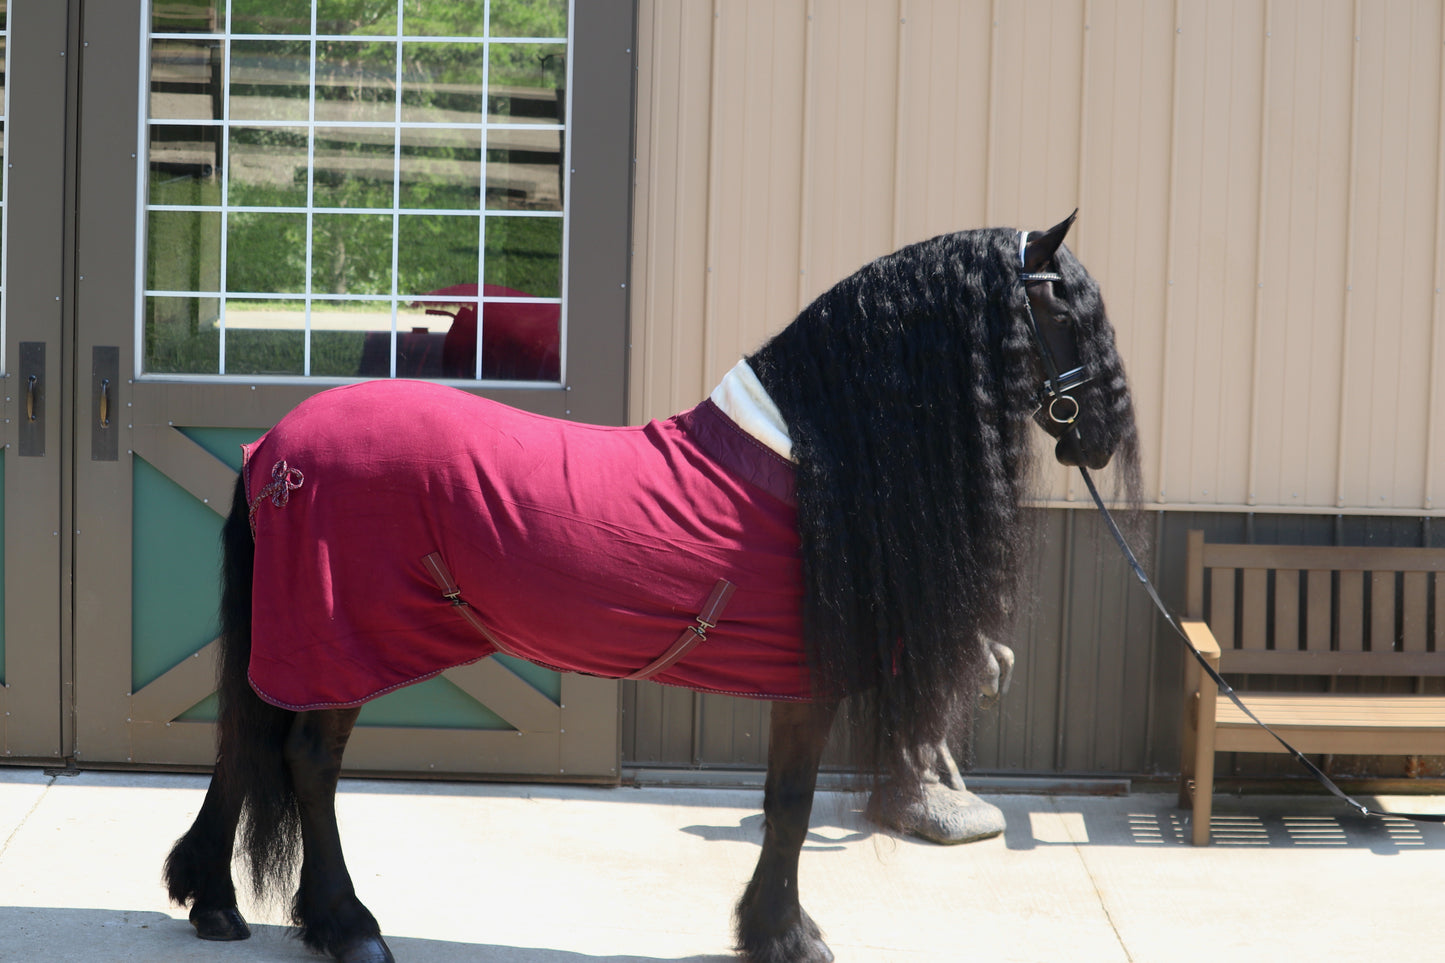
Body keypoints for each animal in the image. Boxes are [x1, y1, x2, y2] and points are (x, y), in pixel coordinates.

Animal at [164, 214, 1138, 954]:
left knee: (243, 740)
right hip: (343, 640)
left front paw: (769, 929)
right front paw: (785, 935)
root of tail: (275, 449)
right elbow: (789, 806)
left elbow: (782, 805)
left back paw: (212, 899)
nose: (1101, 433)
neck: (805, 458)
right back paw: (348, 924)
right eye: (1066, 307)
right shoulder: (808, 685)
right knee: (307, 761)